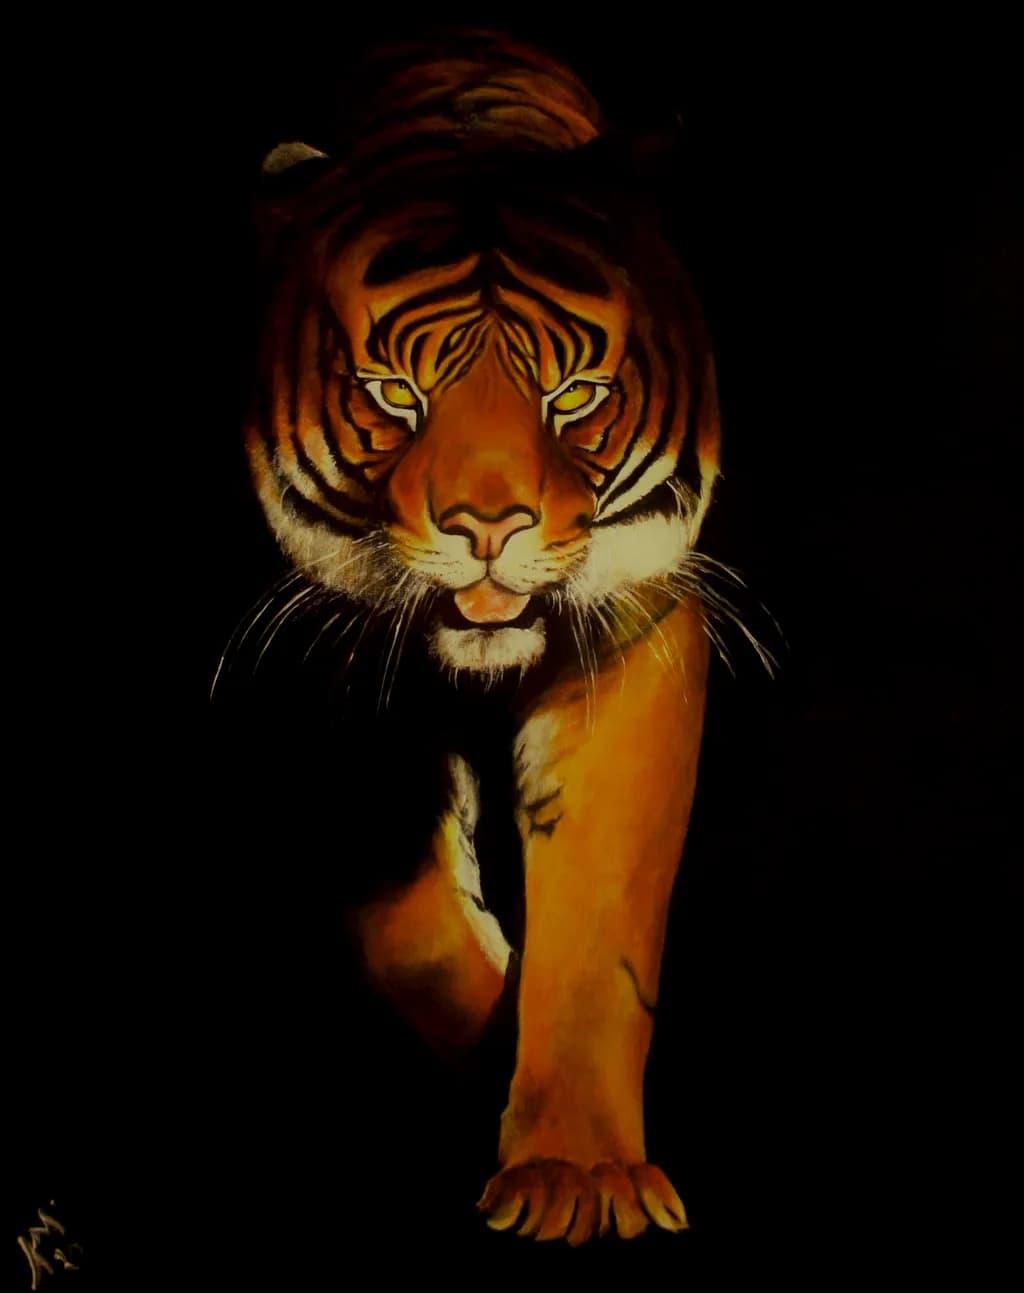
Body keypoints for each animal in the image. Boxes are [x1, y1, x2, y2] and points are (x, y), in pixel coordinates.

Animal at [238, 32, 722, 1244]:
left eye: (575, 394)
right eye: (393, 393)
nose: (489, 526)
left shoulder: (633, 635)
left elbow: (598, 918)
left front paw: (577, 1177)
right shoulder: (330, 664)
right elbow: (407, 924)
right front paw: (493, 1049)